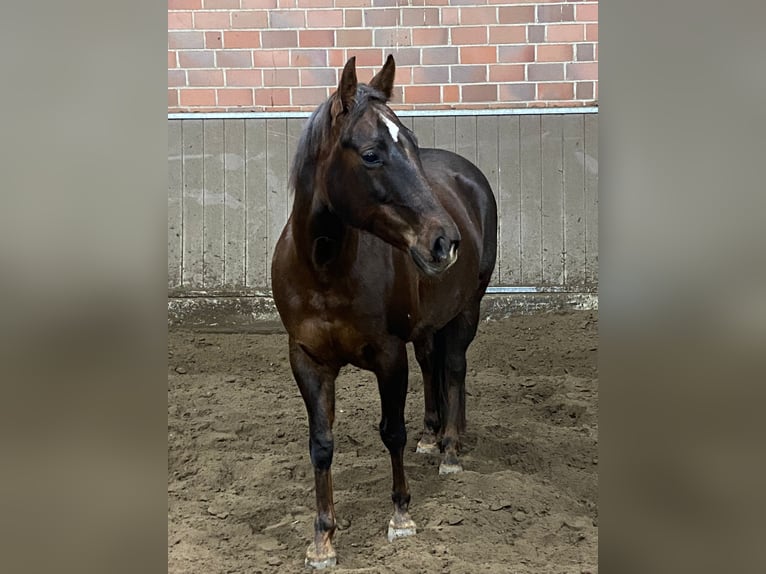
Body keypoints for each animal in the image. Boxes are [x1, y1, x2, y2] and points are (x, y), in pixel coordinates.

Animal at [272, 56, 500, 568]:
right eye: (372, 154)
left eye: (410, 144)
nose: (444, 241)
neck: (325, 270)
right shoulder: (307, 361)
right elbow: (321, 444)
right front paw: (323, 539)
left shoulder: (388, 356)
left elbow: (391, 431)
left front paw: (401, 515)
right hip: (429, 323)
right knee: (433, 363)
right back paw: (432, 436)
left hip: (467, 308)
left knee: (454, 366)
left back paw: (450, 449)